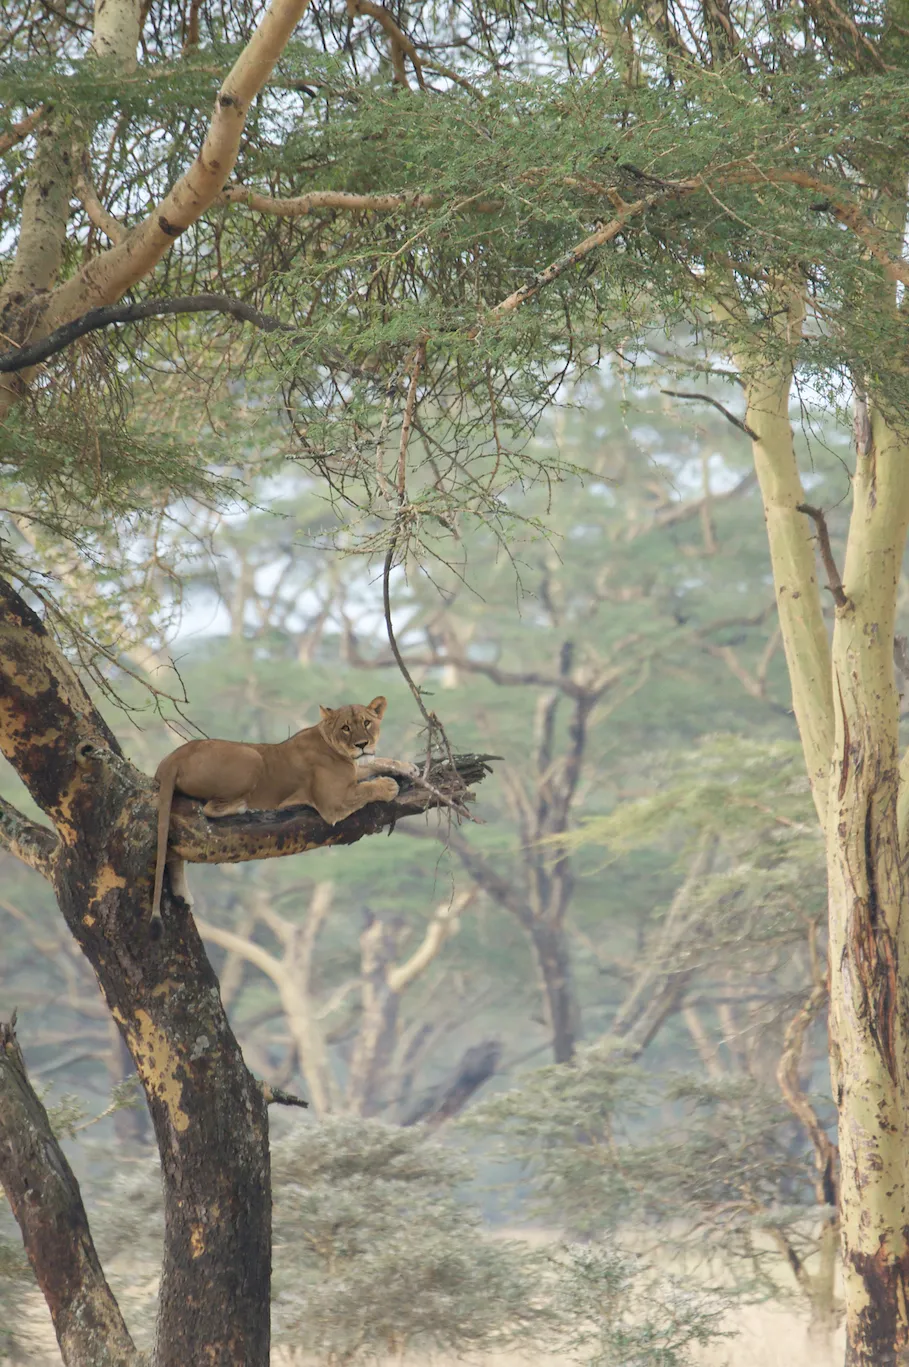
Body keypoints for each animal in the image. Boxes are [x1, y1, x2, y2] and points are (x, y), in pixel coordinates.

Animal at [151, 697, 416, 924]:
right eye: (345, 728)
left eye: (366, 723)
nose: (362, 745)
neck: (332, 744)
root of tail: (172, 757)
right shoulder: (333, 802)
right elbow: (367, 788)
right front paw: (388, 786)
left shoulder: (353, 772)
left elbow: (377, 761)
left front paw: (407, 767)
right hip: (251, 755)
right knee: (210, 809)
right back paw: (248, 809)